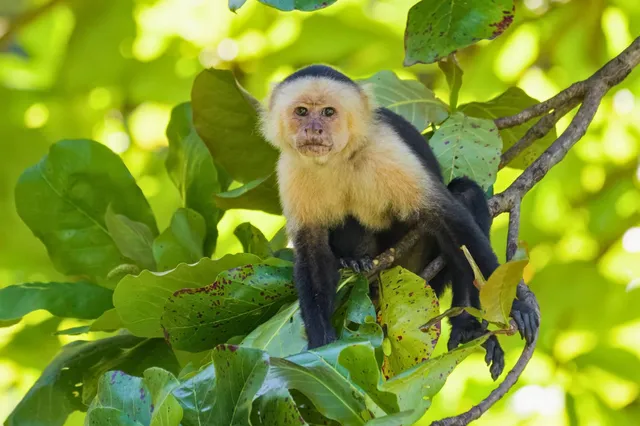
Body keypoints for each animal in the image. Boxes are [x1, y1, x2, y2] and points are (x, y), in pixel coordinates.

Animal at [259, 64, 540, 380]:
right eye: (302, 111)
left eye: (329, 112)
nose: (314, 129)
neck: (339, 158)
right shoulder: (290, 168)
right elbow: (312, 252)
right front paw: (320, 345)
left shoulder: (385, 148)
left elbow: (447, 217)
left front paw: (515, 305)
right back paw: (356, 261)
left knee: (464, 199)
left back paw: (467, 321)